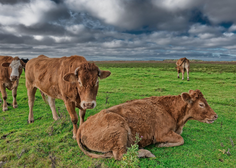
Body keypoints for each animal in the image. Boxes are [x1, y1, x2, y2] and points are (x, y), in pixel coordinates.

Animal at [77, 89, 218, 160]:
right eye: (201, 104)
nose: (215, 116)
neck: (169, 109)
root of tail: (82, 126)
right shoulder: (162, 134)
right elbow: (181, 139)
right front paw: (161, 145)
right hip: (120, 129)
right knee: (120, 155)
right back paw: (146, 153)